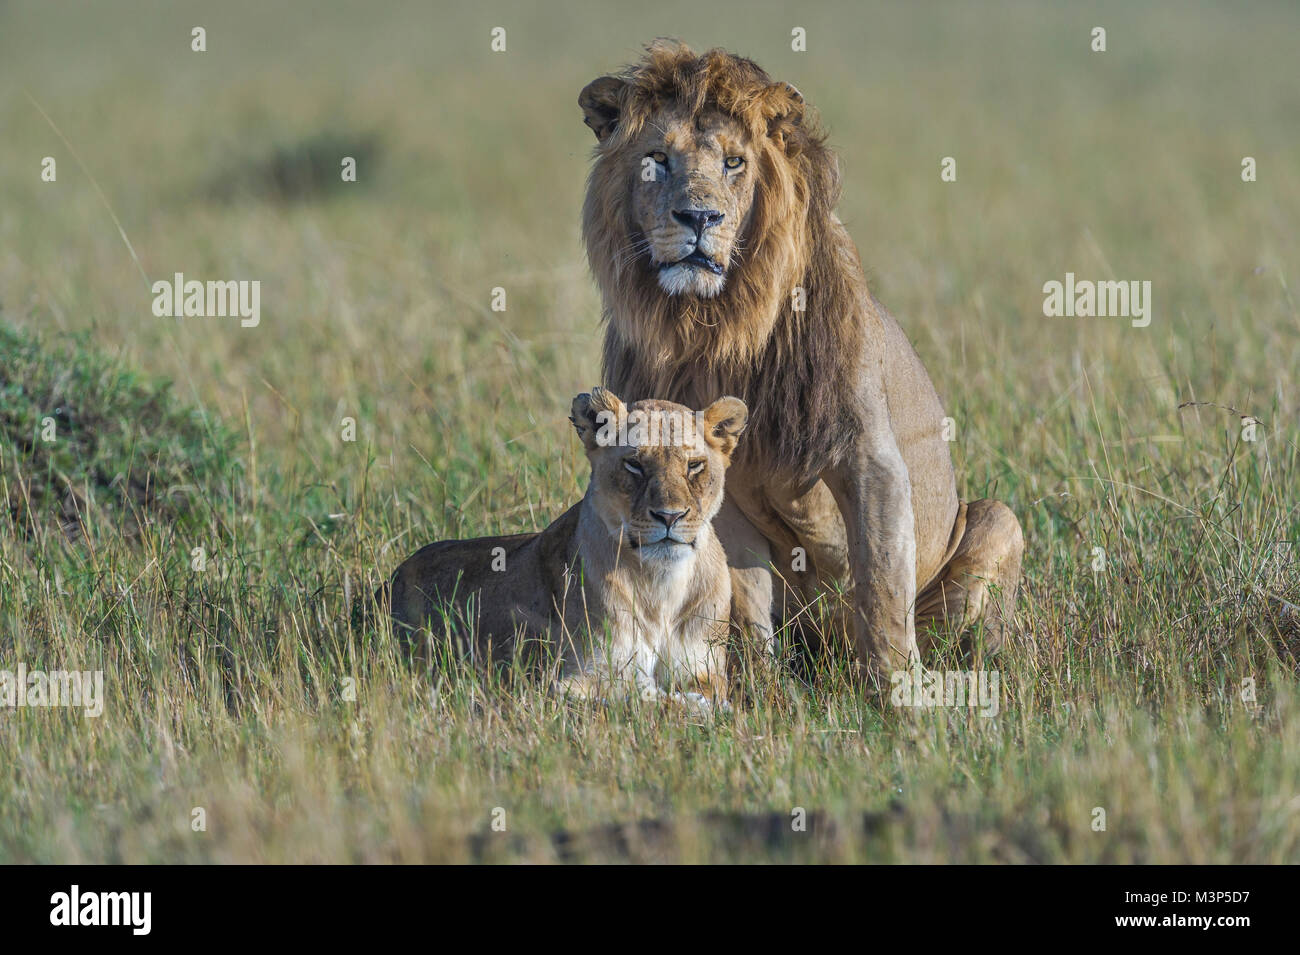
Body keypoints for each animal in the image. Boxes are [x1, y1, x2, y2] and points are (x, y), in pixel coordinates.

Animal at [384, 389, 748, 709]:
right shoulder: (565, 680)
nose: (669, 516)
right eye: (634, 465)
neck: (661, 586)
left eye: (694, 465)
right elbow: (636, 698)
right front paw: (692, 705)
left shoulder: (705, 671)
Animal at [578, 41, 1025, 683]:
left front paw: (899, 689)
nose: (699, 218)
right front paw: (762, 687)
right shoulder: (725, 483)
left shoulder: (866, 454)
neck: (715, 325)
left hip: (994, 520)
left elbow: (882, 585)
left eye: (734, 163)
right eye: (657, 160)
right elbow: (743, 594)